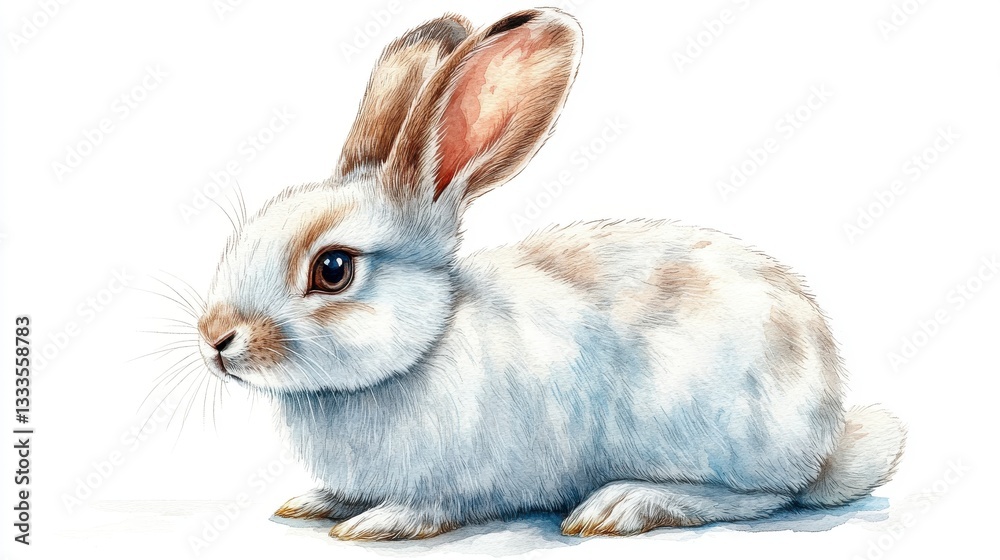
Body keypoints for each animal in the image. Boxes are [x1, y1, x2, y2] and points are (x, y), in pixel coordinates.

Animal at [195, 8, 905, 540]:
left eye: (333, 269)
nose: (215, 340)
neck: (422, 347)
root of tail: (825, 434)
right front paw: (318, 501)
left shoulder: (479, 475)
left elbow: (440, 504)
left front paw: (379, 522)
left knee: (765, 496)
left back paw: (623, 505)